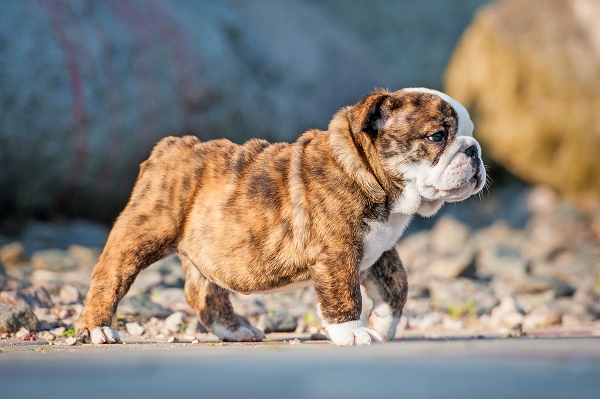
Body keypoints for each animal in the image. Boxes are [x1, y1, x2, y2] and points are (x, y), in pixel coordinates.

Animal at [77, 88, 486, 346]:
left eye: (469, 134)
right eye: (437, 136)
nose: (475, 151)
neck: (370, 176)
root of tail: (173, 146)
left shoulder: (381, 249)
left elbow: (397, 284)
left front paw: (383, 323)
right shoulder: (337, 252)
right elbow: (345, 293)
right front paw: (353, 332)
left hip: (205, 249)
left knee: (202, 291)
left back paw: (234, 330)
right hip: (143, 233)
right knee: (109, 276)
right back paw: (98, 330)